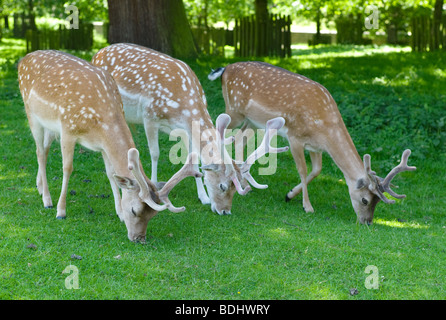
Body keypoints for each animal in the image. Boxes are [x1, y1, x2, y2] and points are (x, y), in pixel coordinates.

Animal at [18, 49, 201, 240]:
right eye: (135, 210)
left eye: (153, 215)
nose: (139, 239)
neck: (100, 121)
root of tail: (24, 59)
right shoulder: (68, 129)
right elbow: (67, 168)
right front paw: (61, 211)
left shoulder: (102, 145)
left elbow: (111, 172)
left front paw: (119, 212)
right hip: (32, 115)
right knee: (39, 152)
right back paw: (47, 200)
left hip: (49, 126)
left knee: (44, 150)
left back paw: (39, 188)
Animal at [92, 43, 288, 215]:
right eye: (223, 186)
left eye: (236, 187)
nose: (225, 211)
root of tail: (97, 54)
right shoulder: (150, 117)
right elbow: (155, 153)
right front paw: (153, 185)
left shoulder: (184, 128)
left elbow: (193, 160)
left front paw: (204, 197)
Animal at [208, 61, 414, 224]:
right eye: (365, 200)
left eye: (377, 201)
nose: (367, 222)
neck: (325, 127)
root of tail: (225, 69)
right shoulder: (295, 137)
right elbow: (303, 170)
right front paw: (307, 206)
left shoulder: (316, 147)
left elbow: (316, 170)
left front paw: (289, 194)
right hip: (234, 110)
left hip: (252, 121)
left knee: (239, 140)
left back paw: (244, 183)